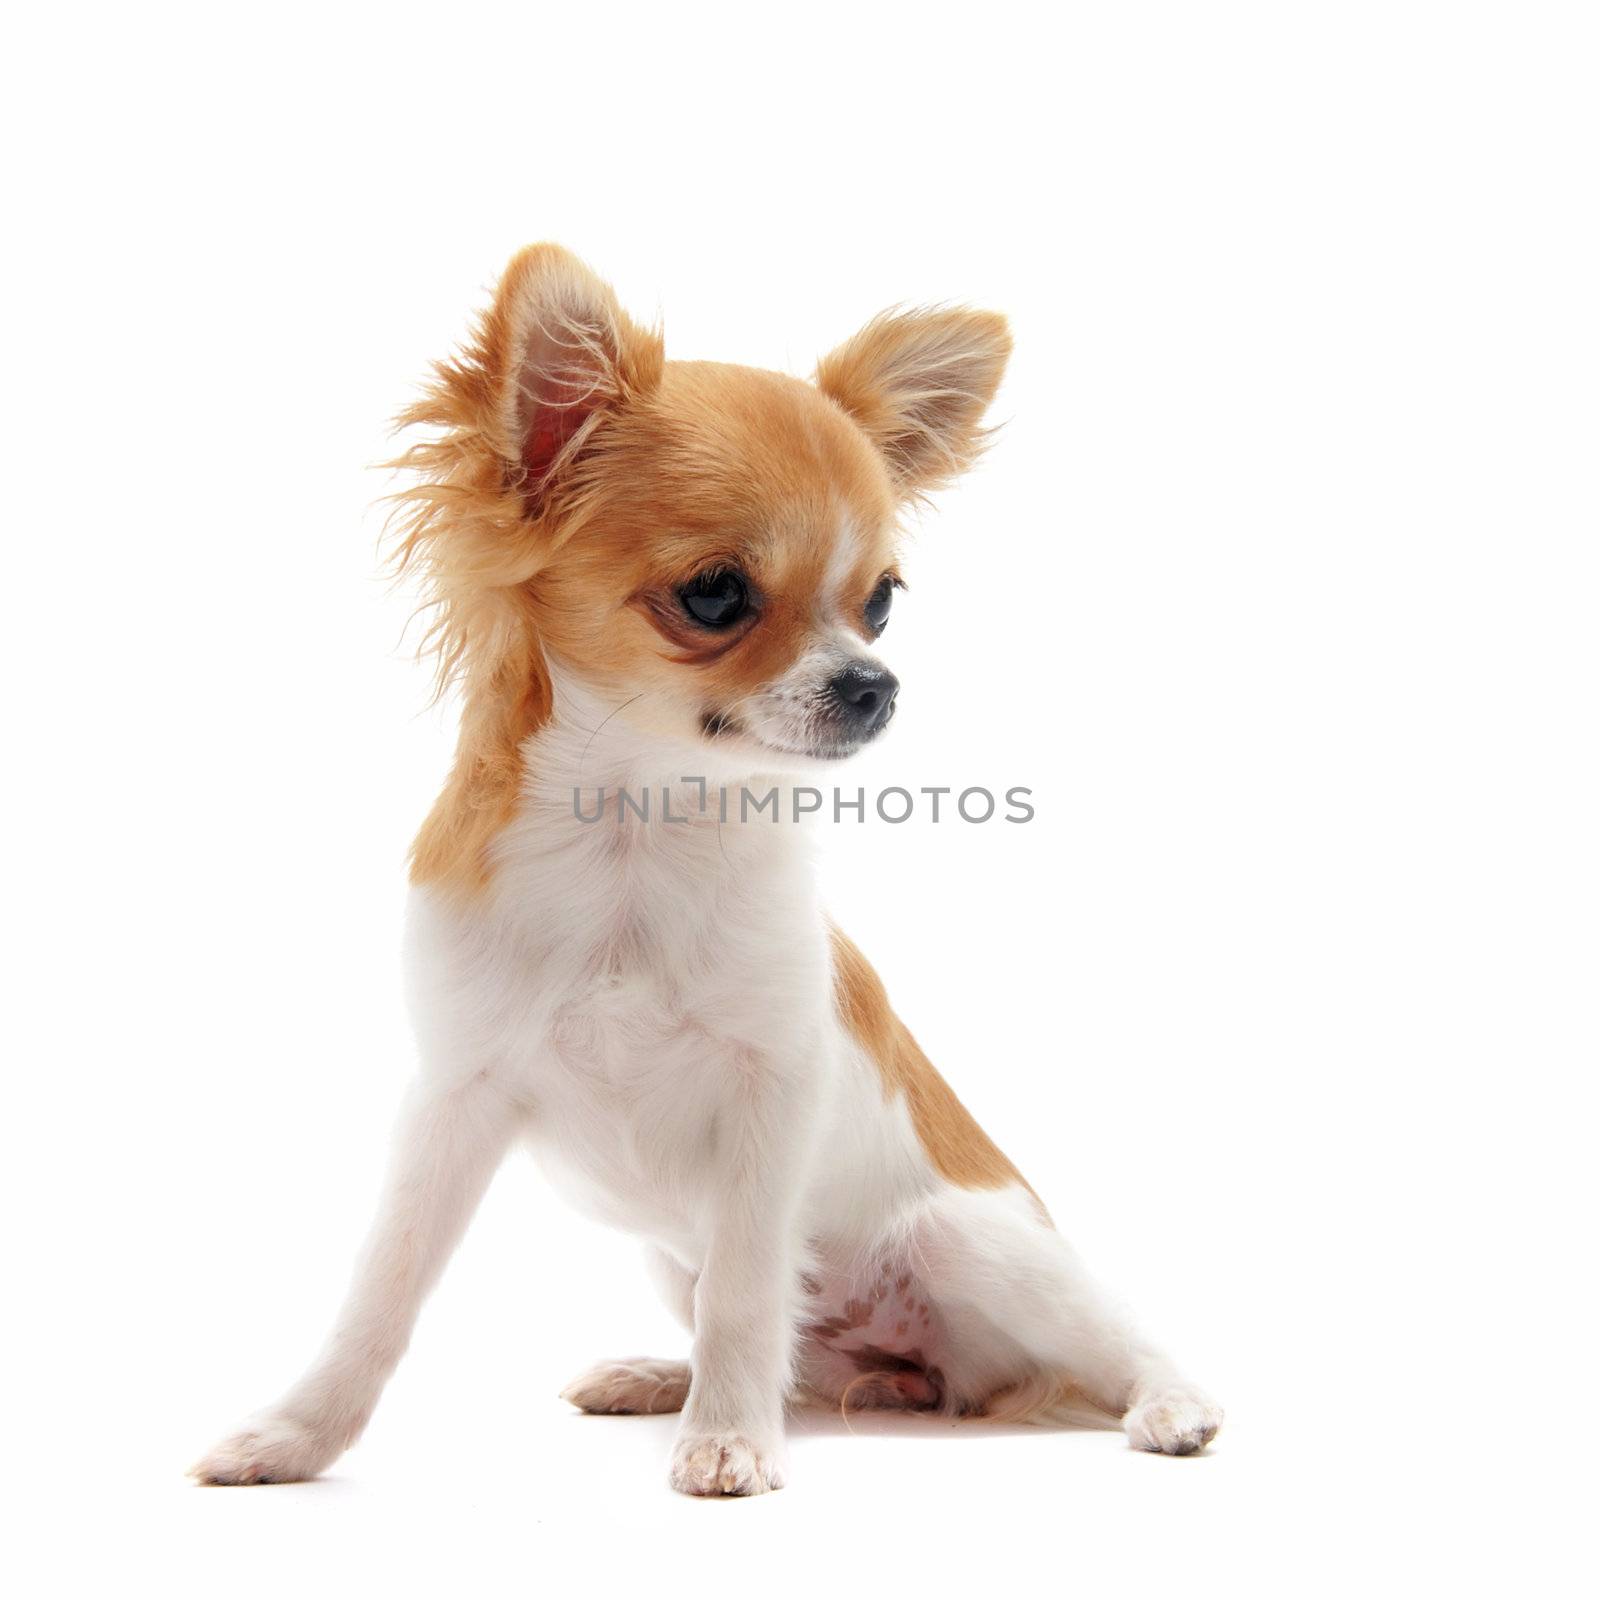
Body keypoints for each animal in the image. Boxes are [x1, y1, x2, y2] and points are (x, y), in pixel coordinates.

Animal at [200, 243, 1222, 1491]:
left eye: (881, 602)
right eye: (716, 592)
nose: (874, 685)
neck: (638, 828)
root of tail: (937, 1378)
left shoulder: (772, 1092)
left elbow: (744, 1290)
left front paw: (728, 1441)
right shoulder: (455, 1096)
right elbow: (380, 1294)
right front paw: (294, 1436)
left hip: (970, 1238)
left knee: (1115, 1344)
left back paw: (1172, 1405)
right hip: (677, 1263)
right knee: (795, 1356)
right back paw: (661, 1377)